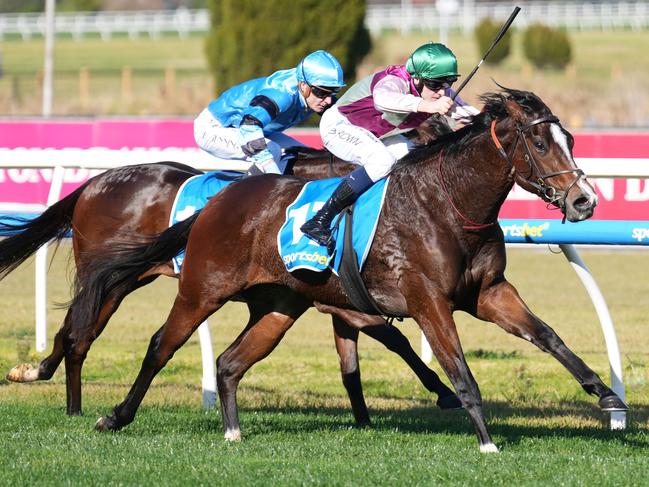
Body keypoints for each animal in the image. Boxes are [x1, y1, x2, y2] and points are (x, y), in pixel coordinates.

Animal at [73, 88, 624, 454]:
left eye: (571, 140)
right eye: (540, 144)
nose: (584, 200)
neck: (447, 202)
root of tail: (218, 200)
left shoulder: (488, 292)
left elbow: (548, 336)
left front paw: (606, 395)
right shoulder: (426, 301)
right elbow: (459, 370)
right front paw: (485, 440)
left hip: (279, 306)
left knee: (229, 362)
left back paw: (232, 429)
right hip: (201, 289)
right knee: (159, 346)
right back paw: (112, 417)